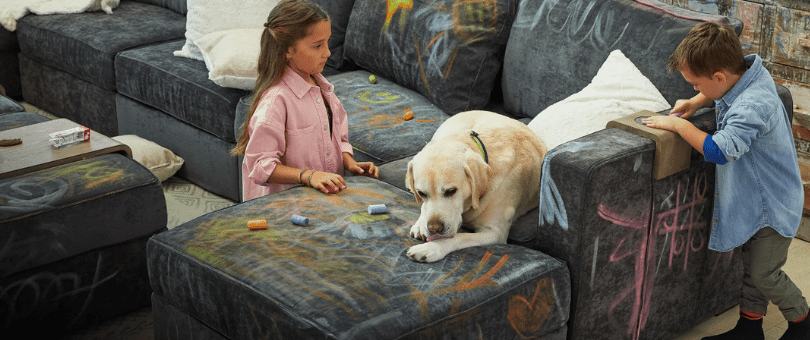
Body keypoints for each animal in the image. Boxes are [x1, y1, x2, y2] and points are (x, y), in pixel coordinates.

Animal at [408, 110, 548, 262]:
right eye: (421, 193)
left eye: (451, 191)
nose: (434, 228)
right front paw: (422, 225)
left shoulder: (495, 232)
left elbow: (460, 237)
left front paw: (432, 248)